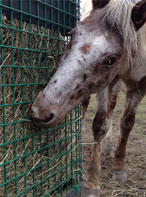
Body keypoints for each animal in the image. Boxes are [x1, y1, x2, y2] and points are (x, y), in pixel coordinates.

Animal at [30, 0, 146, 195]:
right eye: (72, 34)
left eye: (111, 60)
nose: (41, 111)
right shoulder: (106, 84)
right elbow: (99, 125)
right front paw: (92, 182)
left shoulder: (139, 86)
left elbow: (127, 123)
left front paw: (119, 166)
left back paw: (109, 149)